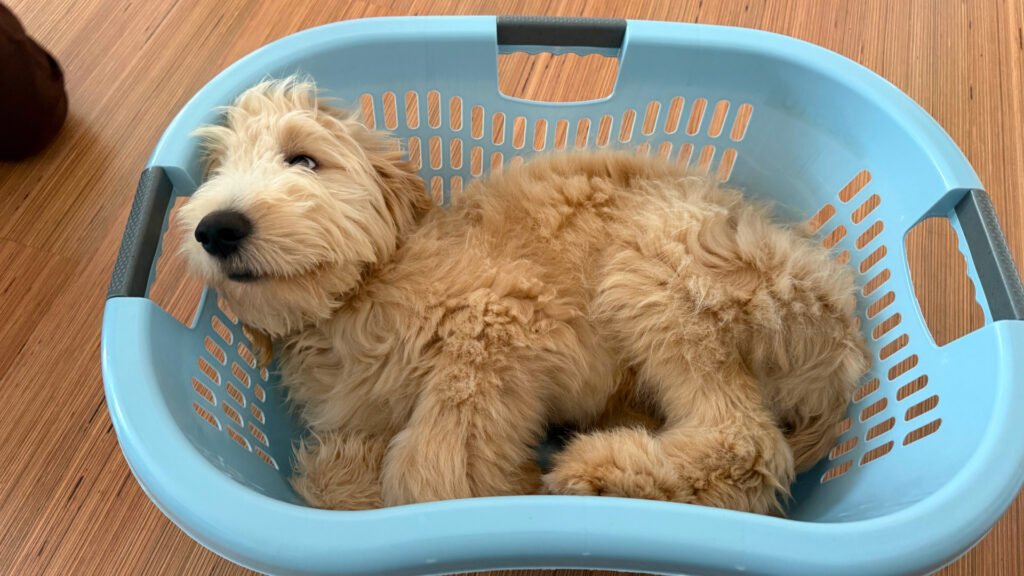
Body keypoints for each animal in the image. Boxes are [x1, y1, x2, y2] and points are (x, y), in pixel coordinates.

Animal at [180, 76, 868, 510]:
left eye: (303, 160)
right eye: (216, 172)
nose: (216, 227)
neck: (361, 292)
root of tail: (845, 347)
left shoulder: (499, 322)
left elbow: (429, 472)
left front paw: (498, 480)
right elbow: (326, 480)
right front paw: (349, 471)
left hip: (661, 272)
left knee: (743, 444)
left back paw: (600, 470)